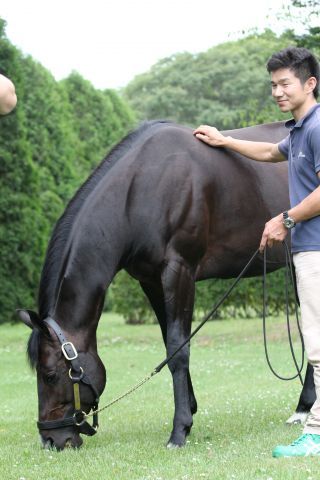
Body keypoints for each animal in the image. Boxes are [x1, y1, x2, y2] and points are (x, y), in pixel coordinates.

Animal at [17, 120, 316, 450]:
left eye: (50, 375)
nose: (51, 439)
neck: (141, 191)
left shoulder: (179, 271)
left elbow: (178, 347)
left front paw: (179, 429)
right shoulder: (150, 280)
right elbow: (170, 343)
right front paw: (190, 412)